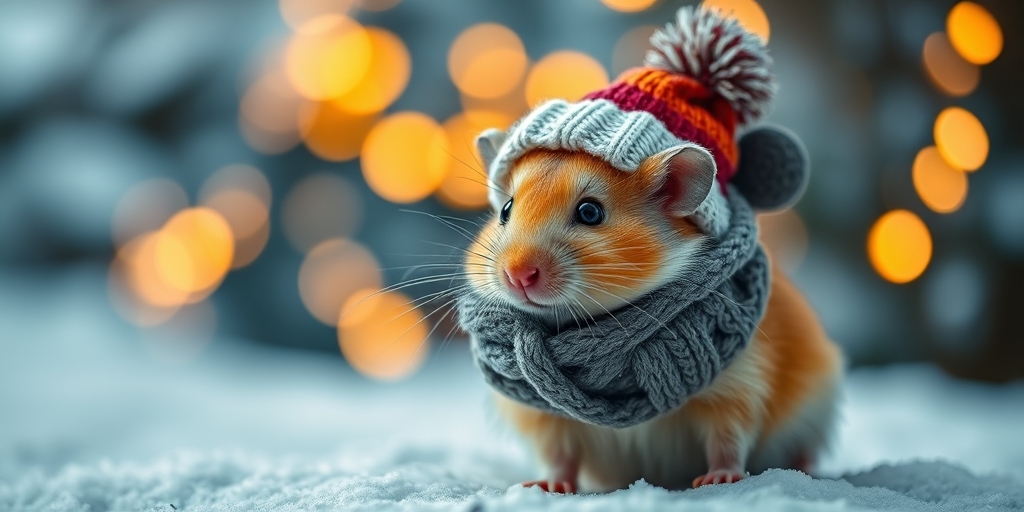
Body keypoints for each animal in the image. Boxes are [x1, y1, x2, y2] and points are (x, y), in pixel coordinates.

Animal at [464, 148, 843, 493]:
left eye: (590, 212)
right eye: (506, 209)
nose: (517, 275)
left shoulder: (737, 384)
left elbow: (728, 439)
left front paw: (717, 481)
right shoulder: (545, 416)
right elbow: (558, 457)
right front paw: (544, 487)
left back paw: (804, 468)